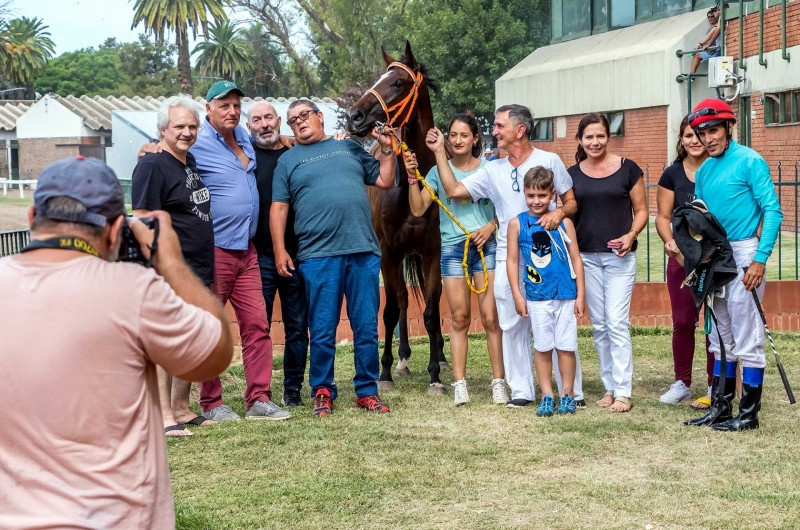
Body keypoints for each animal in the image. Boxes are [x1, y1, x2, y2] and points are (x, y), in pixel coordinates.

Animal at [346, 41, 450, 394]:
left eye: (398, 82)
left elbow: (431, 311)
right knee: (403, 301)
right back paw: (402, 359)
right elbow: (391, 309)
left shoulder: (432, 252)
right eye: (379, 78)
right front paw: (385, 372)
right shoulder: (388, 253)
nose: (354, 116)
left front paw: (435, 374)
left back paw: (441, 356)